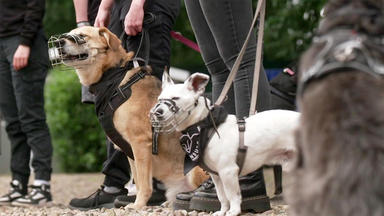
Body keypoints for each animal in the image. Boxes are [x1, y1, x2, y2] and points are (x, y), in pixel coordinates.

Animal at [51, 26, 208, 208]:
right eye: (69, 34)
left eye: (82, 36)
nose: (58, 42)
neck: (114, 78)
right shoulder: (130, 149)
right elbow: (138, 181)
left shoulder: (140, 143)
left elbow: (145, 184)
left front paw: (139, 205)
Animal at [150, 73, 300, 216]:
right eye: (159, 100)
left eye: (175, 98)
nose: (157, 112)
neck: (206, 127)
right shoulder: (216, 176)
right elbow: (222, 196)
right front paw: (223, 211)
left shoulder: (228, 172)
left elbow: (232, 195)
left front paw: (234, 211)